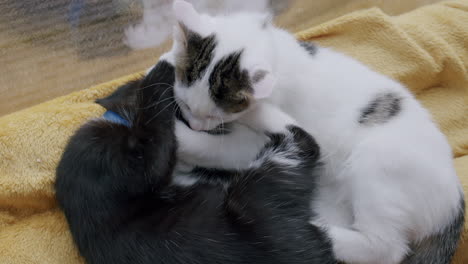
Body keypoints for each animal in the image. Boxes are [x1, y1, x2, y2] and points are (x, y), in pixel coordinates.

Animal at [54, 59, 336, 264]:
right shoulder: (103, 160)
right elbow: (152, 155)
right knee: (301, 141)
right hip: (254, 197)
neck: (120, 121)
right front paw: (161, 72)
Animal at [165, 1, 464, 262]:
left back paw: (318, 231)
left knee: (385, 248)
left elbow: (213, 147)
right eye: (185, 104)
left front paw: (181, 137)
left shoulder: (248, 144)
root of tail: (455, 201)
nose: (195, 124)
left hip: (379, 165)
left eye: (213, 115)